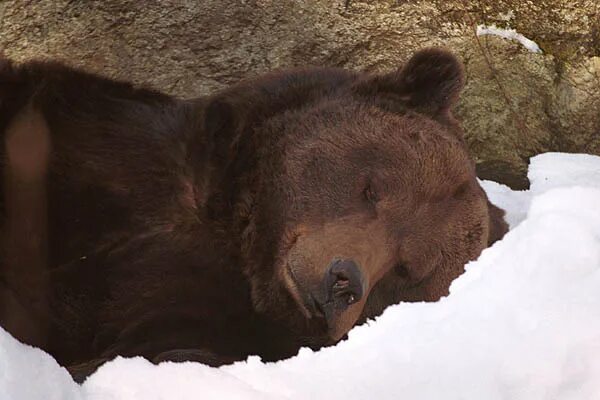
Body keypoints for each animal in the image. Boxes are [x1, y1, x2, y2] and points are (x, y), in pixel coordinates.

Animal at [0, 48, 506, 380]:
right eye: (372, 188)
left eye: (406, 269)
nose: (343, 282)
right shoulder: (91, 147)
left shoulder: (198, 313)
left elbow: (162, 348)